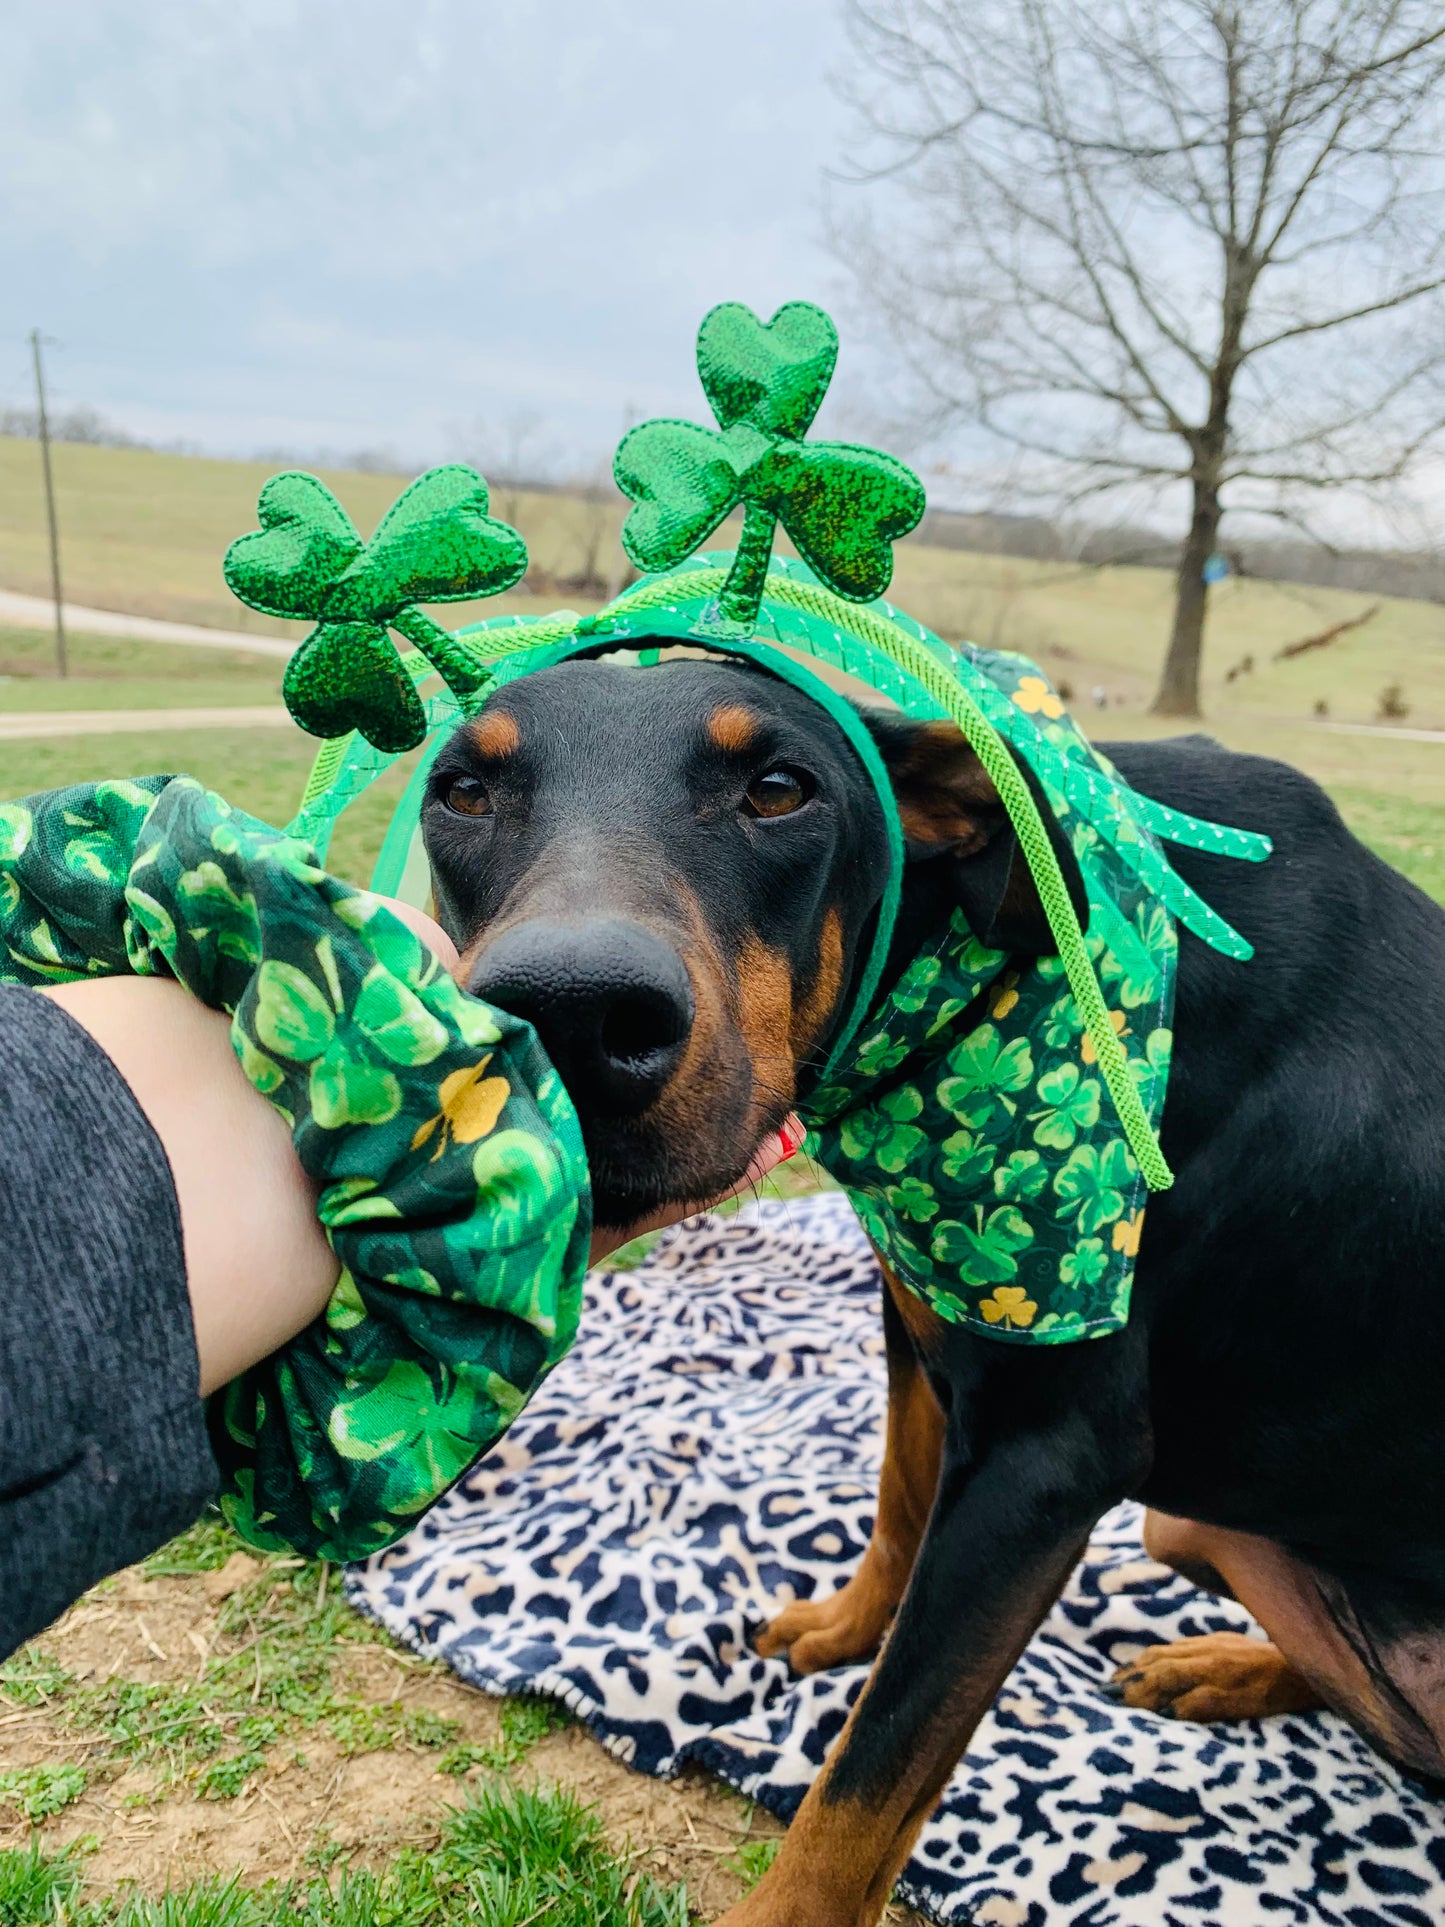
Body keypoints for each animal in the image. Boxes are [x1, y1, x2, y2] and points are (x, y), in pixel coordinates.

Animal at [421, 655, 1445, 1927]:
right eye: (461, 790)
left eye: (779, 789)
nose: (566, 1014)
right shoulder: (918, 1320)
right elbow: (900, 1500)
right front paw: (842, 1629)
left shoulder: (1042, 1466)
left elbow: (864, 1786)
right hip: (1193, 1525)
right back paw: (1215, 1667)